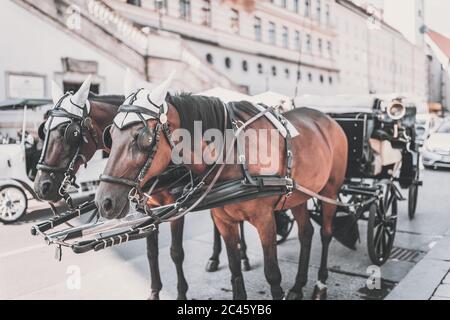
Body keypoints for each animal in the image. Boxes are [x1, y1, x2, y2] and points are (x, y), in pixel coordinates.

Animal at [95, 78, 348, 300]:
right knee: (306, 233)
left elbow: (273, 275)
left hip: (330, 190)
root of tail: (328, 118)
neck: (234, 152)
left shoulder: (265, 219)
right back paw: (298, 286)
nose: (104, 202)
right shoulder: (223, 219)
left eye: (142, 138)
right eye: (110, 135)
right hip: (298, 196)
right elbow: (235, 272)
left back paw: (320, 285)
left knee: (326, 233)